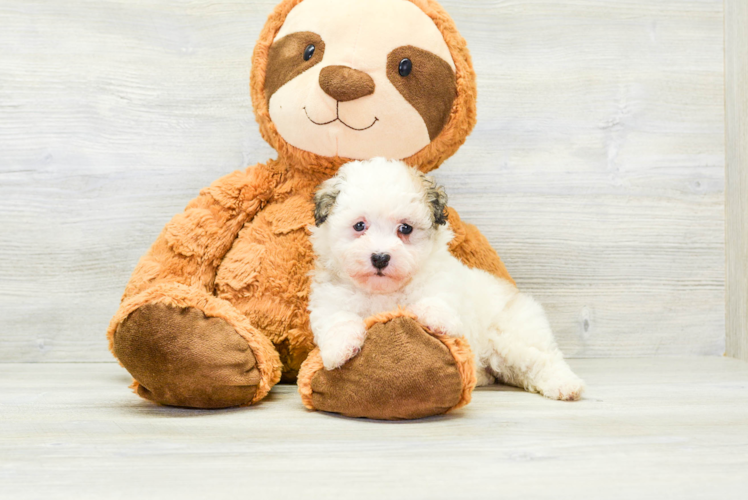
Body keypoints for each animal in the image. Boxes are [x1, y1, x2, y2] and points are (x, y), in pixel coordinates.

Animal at [308, 158, 584, 400]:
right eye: (359, 226)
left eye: (405, 228)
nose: (380, 257)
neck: (383, 291)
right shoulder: (330, 296)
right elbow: (338, 319)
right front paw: (339, 349)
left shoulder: (441, 280)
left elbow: (436, 298)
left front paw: (438, 319)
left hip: (514, 334)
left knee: (543, 359)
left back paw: (565, 385)